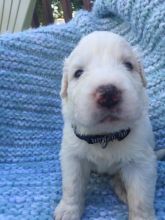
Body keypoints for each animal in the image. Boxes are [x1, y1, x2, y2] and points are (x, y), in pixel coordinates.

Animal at [54, 31, 158, 220]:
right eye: (78, 73)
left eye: (128, 65)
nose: (108, 94)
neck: (106, 135)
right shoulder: (73, 156)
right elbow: (72, 185)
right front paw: (68, 210)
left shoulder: (141, 162)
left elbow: (140, 197)